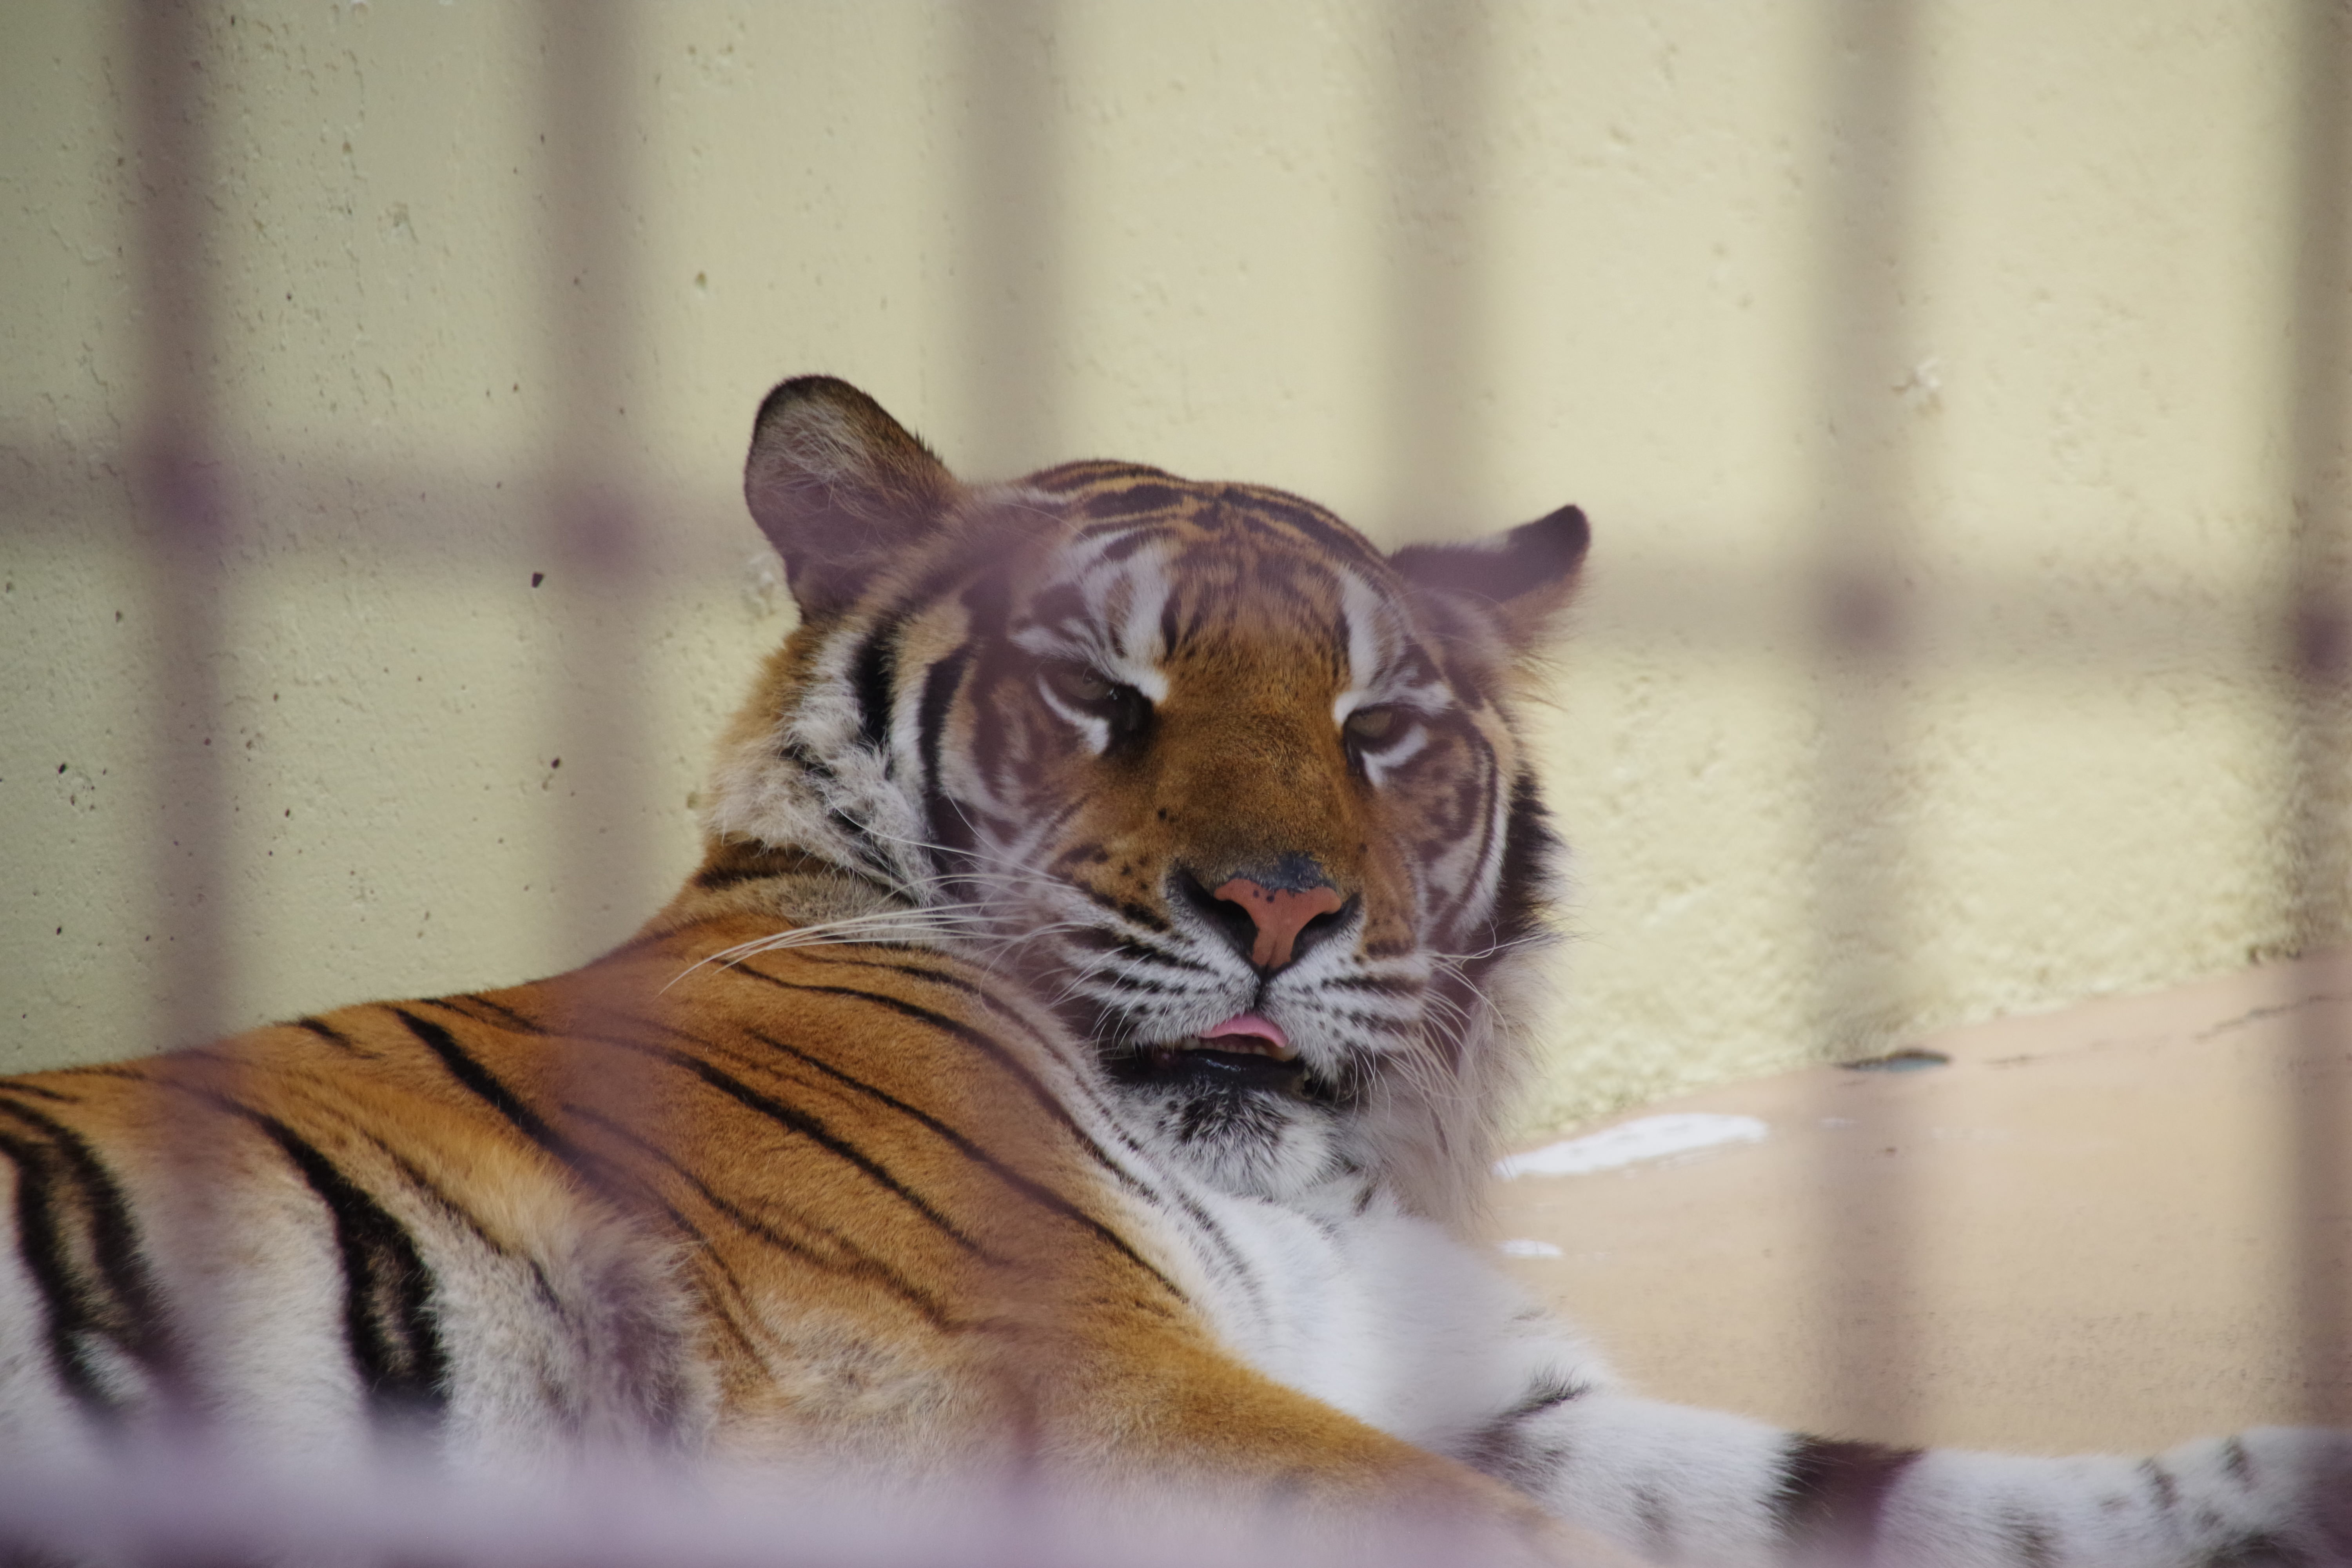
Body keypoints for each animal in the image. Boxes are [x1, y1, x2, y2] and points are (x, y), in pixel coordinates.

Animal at [1, 373, 2346, 1567]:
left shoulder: (1494, 1394)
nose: (1281, 908)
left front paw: (2278, 1490)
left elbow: (1923, 1490)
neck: (1296, 1169)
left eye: (1378, 725)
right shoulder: (1051, 1387)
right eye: (1097, 695)